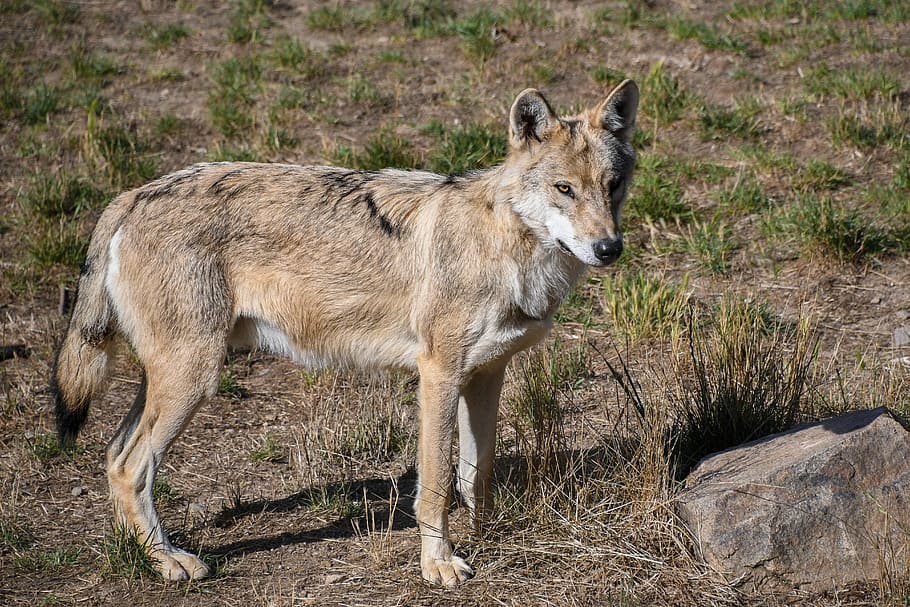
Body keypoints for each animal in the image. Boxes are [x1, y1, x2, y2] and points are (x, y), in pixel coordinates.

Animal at [51, 79, 638, 586]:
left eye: (613, 187)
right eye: (564, 189)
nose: (610, 248)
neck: (508, 246)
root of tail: (133, 192)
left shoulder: (486, 376)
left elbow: (478, 473)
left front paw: (488, 535)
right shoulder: (438, 374)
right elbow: (436, 484)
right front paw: (439, 565)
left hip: (172, 379)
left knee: (113, 455)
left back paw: (144, 555)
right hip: (194, 379)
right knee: (130, 466)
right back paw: (169, 563)